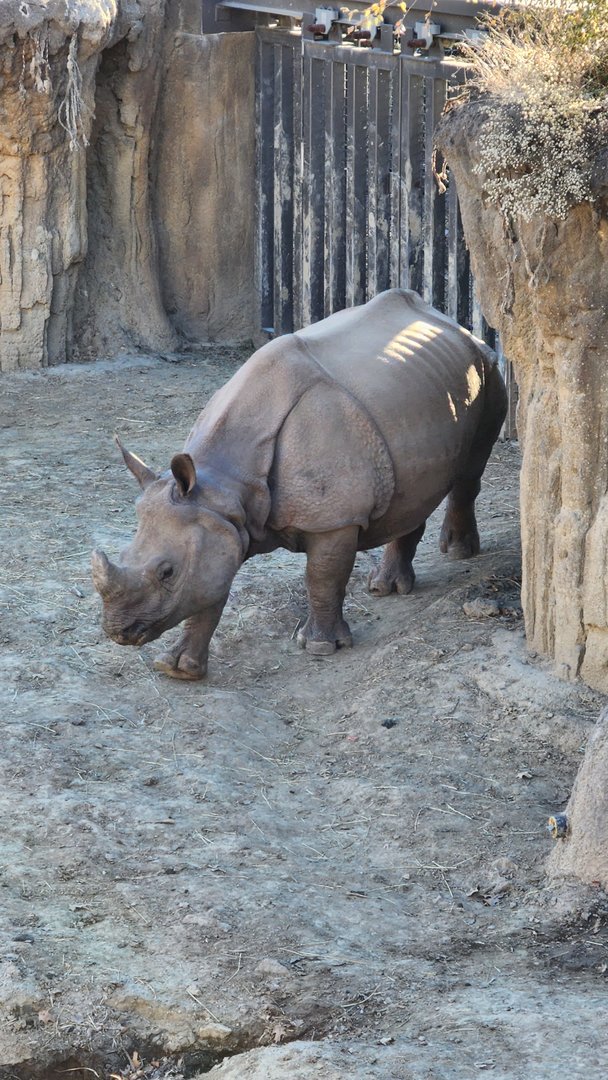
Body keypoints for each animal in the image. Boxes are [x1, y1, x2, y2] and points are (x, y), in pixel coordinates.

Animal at [92, 289, 507, 681]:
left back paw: (457, 553)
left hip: (486, 369)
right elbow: (209, 591)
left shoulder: (333, 518)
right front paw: (178, 668)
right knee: (413, 491)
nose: (118, 632)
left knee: (470, 468)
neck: (224, 482)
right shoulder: (217, 518)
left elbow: (322, 577)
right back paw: (383, 587)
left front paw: (320, 647)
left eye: (167, 572)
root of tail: (447, 321)